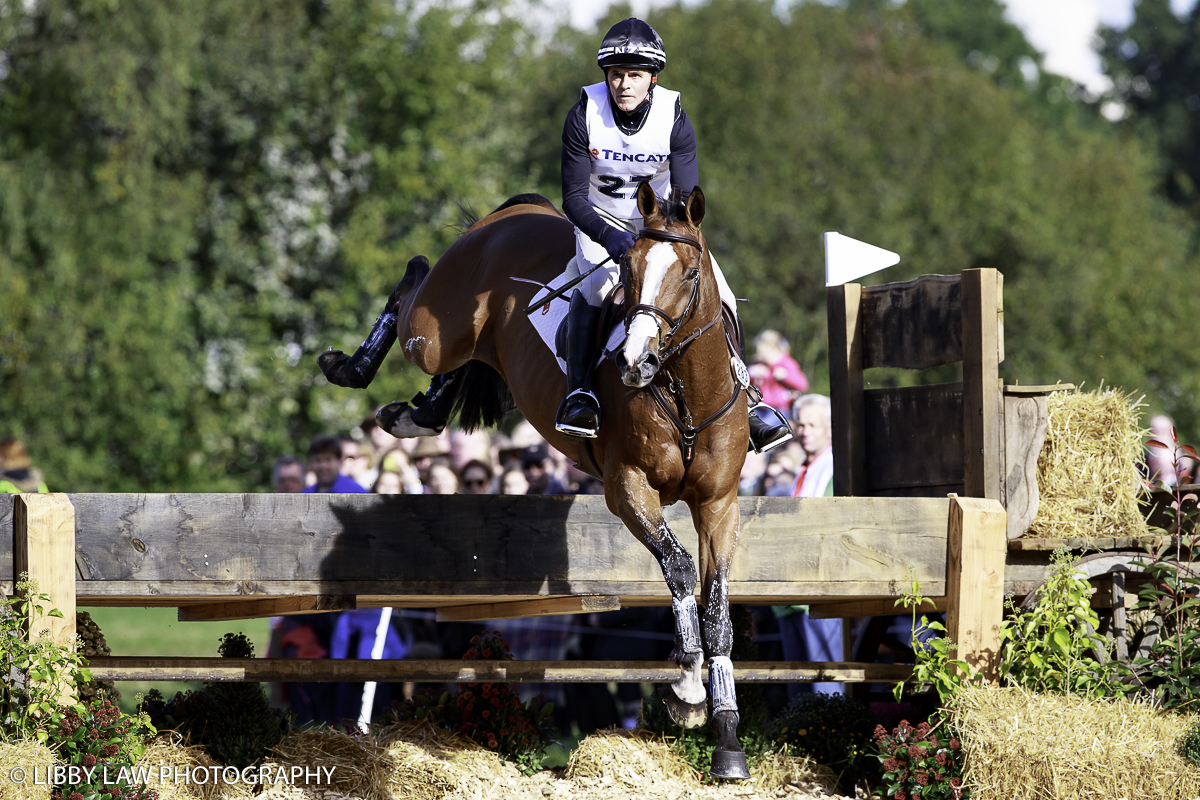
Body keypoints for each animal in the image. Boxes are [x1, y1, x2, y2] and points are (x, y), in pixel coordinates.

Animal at [316, 183, 748, 782]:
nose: (633, 362)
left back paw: (417, 414)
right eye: (630, 268)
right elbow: (680, 568)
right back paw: (349, 367)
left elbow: (716, 607)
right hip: (437, 329)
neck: (686, 393)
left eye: (688, 274)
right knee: (415, 285)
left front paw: (727, 739)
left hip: (473, 341)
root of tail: (520, 210)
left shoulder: (719, 504)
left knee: (454, 361)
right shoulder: (628, 488)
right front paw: (686, 691)